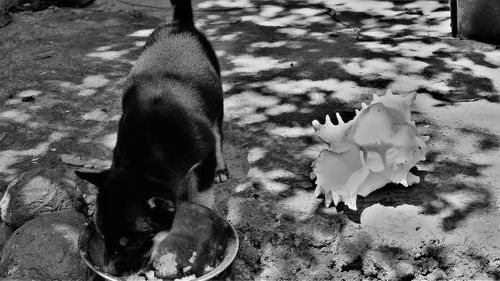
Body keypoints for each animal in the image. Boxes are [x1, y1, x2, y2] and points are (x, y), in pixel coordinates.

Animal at [75, 0, 228, 274]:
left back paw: (221, 167)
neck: (151, 148)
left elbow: (201, 195)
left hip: (216, 102)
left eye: (133, 243)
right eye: (102, 236)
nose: (112, 271)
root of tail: (179, 24)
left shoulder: (203, 154)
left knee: (218, 132)